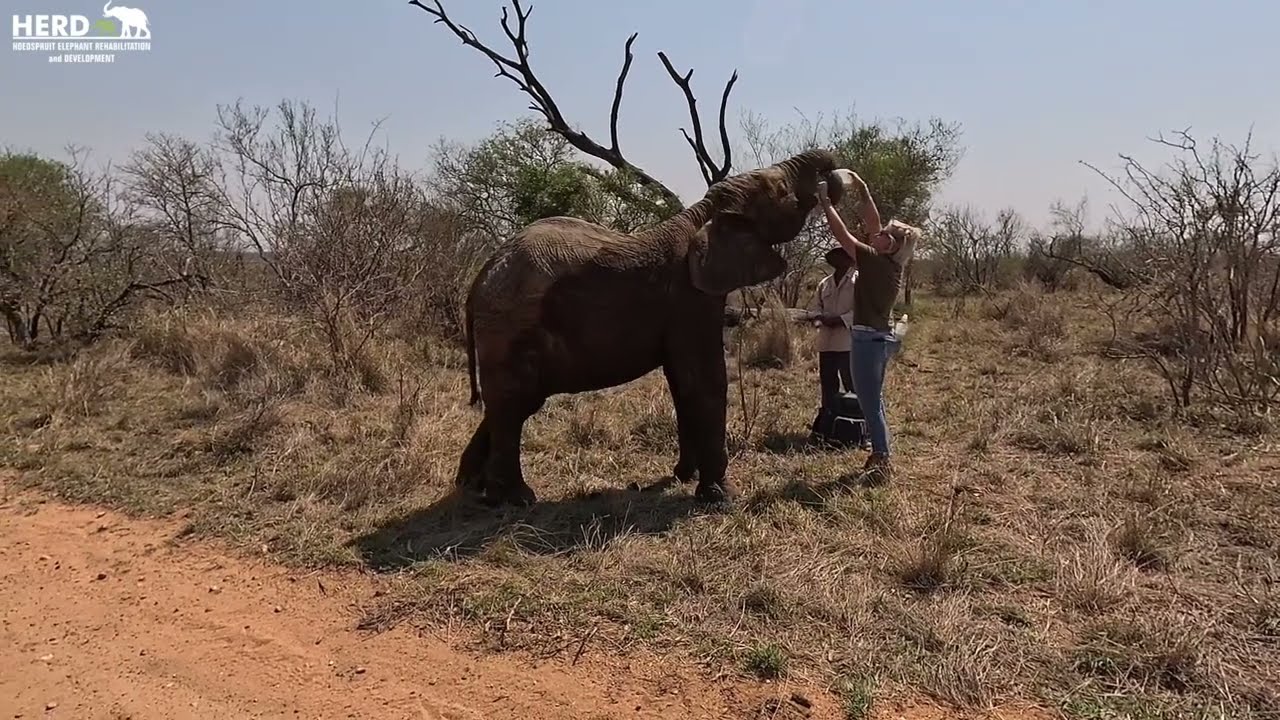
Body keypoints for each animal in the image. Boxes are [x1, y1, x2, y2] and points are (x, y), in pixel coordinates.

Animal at [456, 148, 850, 507]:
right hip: (511, 328)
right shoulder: (690, 300)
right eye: (782, 190)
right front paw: (722, 498)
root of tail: (480, 278)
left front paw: (684, 477)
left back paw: (475, 489)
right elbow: (705, 380)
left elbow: (681, 383)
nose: (830, 176)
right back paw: (517, 498)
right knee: (514, 405)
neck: (705, 214)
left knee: (511, 404)